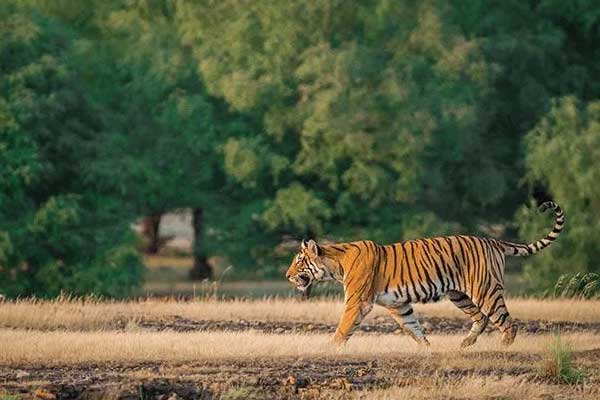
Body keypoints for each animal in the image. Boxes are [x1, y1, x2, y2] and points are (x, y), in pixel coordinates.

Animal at [284, 202, 564, 346]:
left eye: (299, 262)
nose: (287, 275)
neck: (336, 263)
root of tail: (492, 240)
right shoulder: (398, 305)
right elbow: (413, 328)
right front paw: (427, 349)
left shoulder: (357, 302)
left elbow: (343, 328)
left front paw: (330, 348)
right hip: (459, 294)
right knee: (482, 319)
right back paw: (465, 344)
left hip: (485, 290)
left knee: (507, 323)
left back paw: (502, 348)